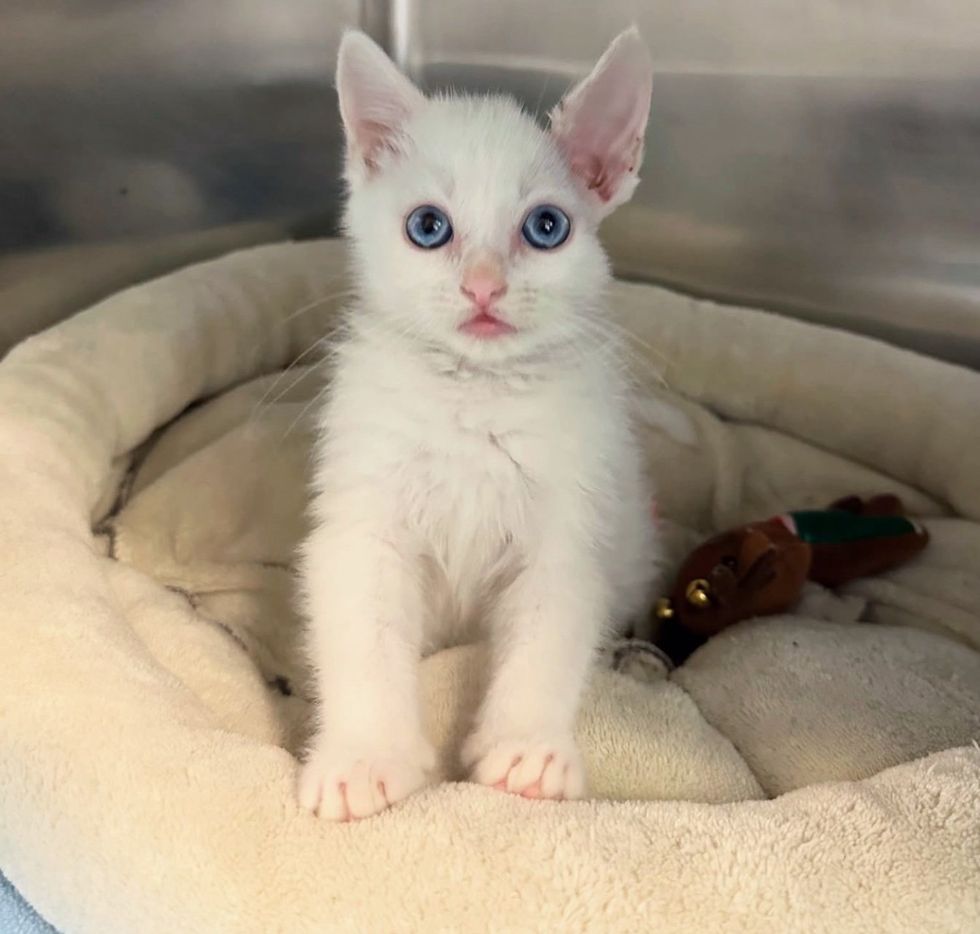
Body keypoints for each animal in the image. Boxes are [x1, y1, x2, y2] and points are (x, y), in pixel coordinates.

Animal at [298, 27, 660, 820]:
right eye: (428, 227)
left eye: (547, 227)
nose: (484, 286)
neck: (474, 392)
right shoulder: (363, 513)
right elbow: (360, 624)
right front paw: (363, 757)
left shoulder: (569, 524)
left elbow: (550, 631)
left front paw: (526, 749)